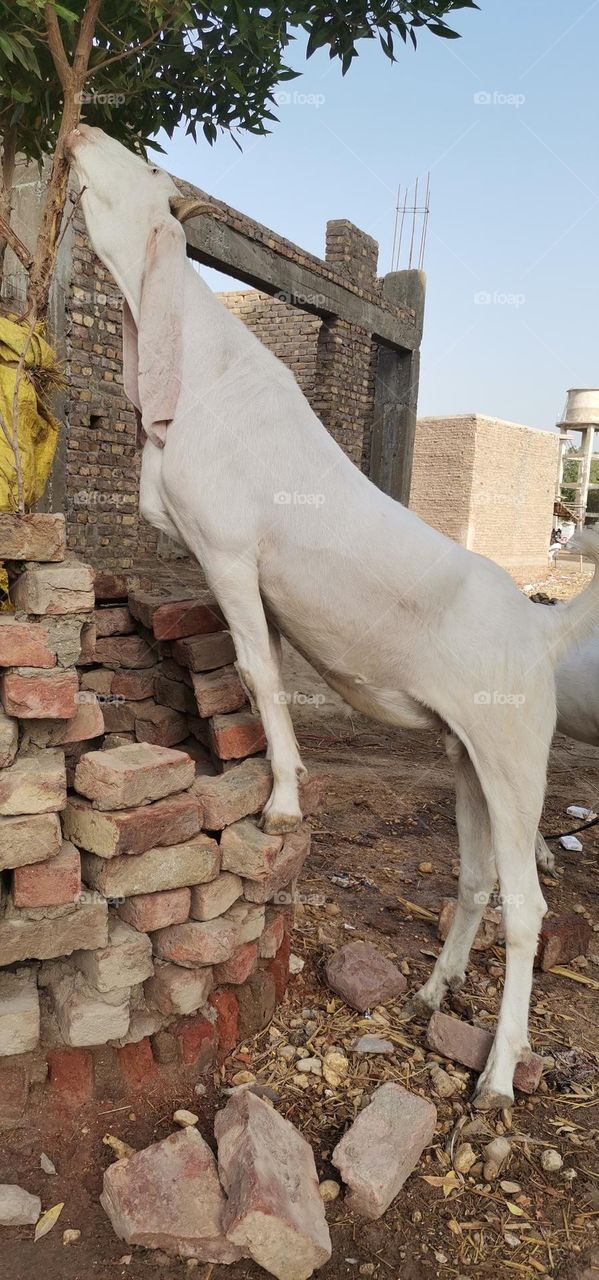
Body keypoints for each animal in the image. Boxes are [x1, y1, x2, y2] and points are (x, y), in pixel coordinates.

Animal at [66, 125, 599, 1109]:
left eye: (144, 170)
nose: (80, 131)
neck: (202, 370)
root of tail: (542, 631)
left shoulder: (229, 553)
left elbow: (262, 675)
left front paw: (280, 804)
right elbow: (260, 677)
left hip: (515, 753)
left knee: (528, 907)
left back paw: (498, 1076)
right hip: (468, 755)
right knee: (475, 880)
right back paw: (431, 991)